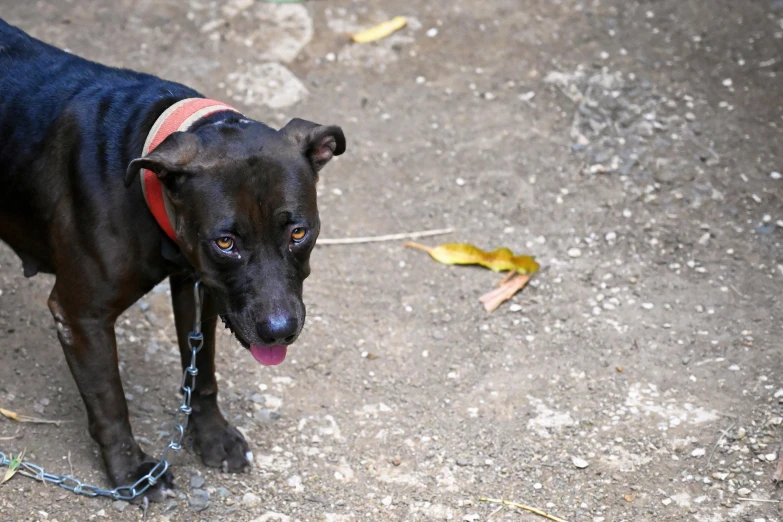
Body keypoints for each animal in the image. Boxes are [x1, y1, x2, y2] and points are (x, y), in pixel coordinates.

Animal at [0, 19, 344, 500]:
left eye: (298, 232)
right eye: (226, 242)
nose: (279, 331)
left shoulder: (200, 289)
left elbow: (201, 374)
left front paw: (213, 437)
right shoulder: (81, 314)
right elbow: (110, 399)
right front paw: (131, 473)